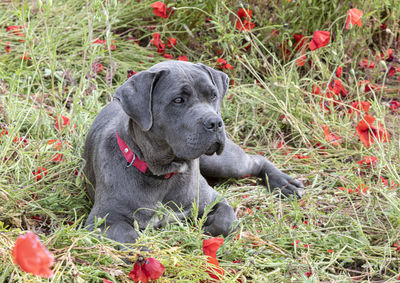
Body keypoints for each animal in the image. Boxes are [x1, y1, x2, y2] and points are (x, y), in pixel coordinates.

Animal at [83, 60, 304, 244]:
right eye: (178, 100)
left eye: (213, 95)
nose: (215, 123)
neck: (163, 173)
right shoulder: (104, 221)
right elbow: (130, 237)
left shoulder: (213, 199)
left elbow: (227, 220)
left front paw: (207, 228)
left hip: (222, 162)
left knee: (255, 160)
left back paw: (285, 183)